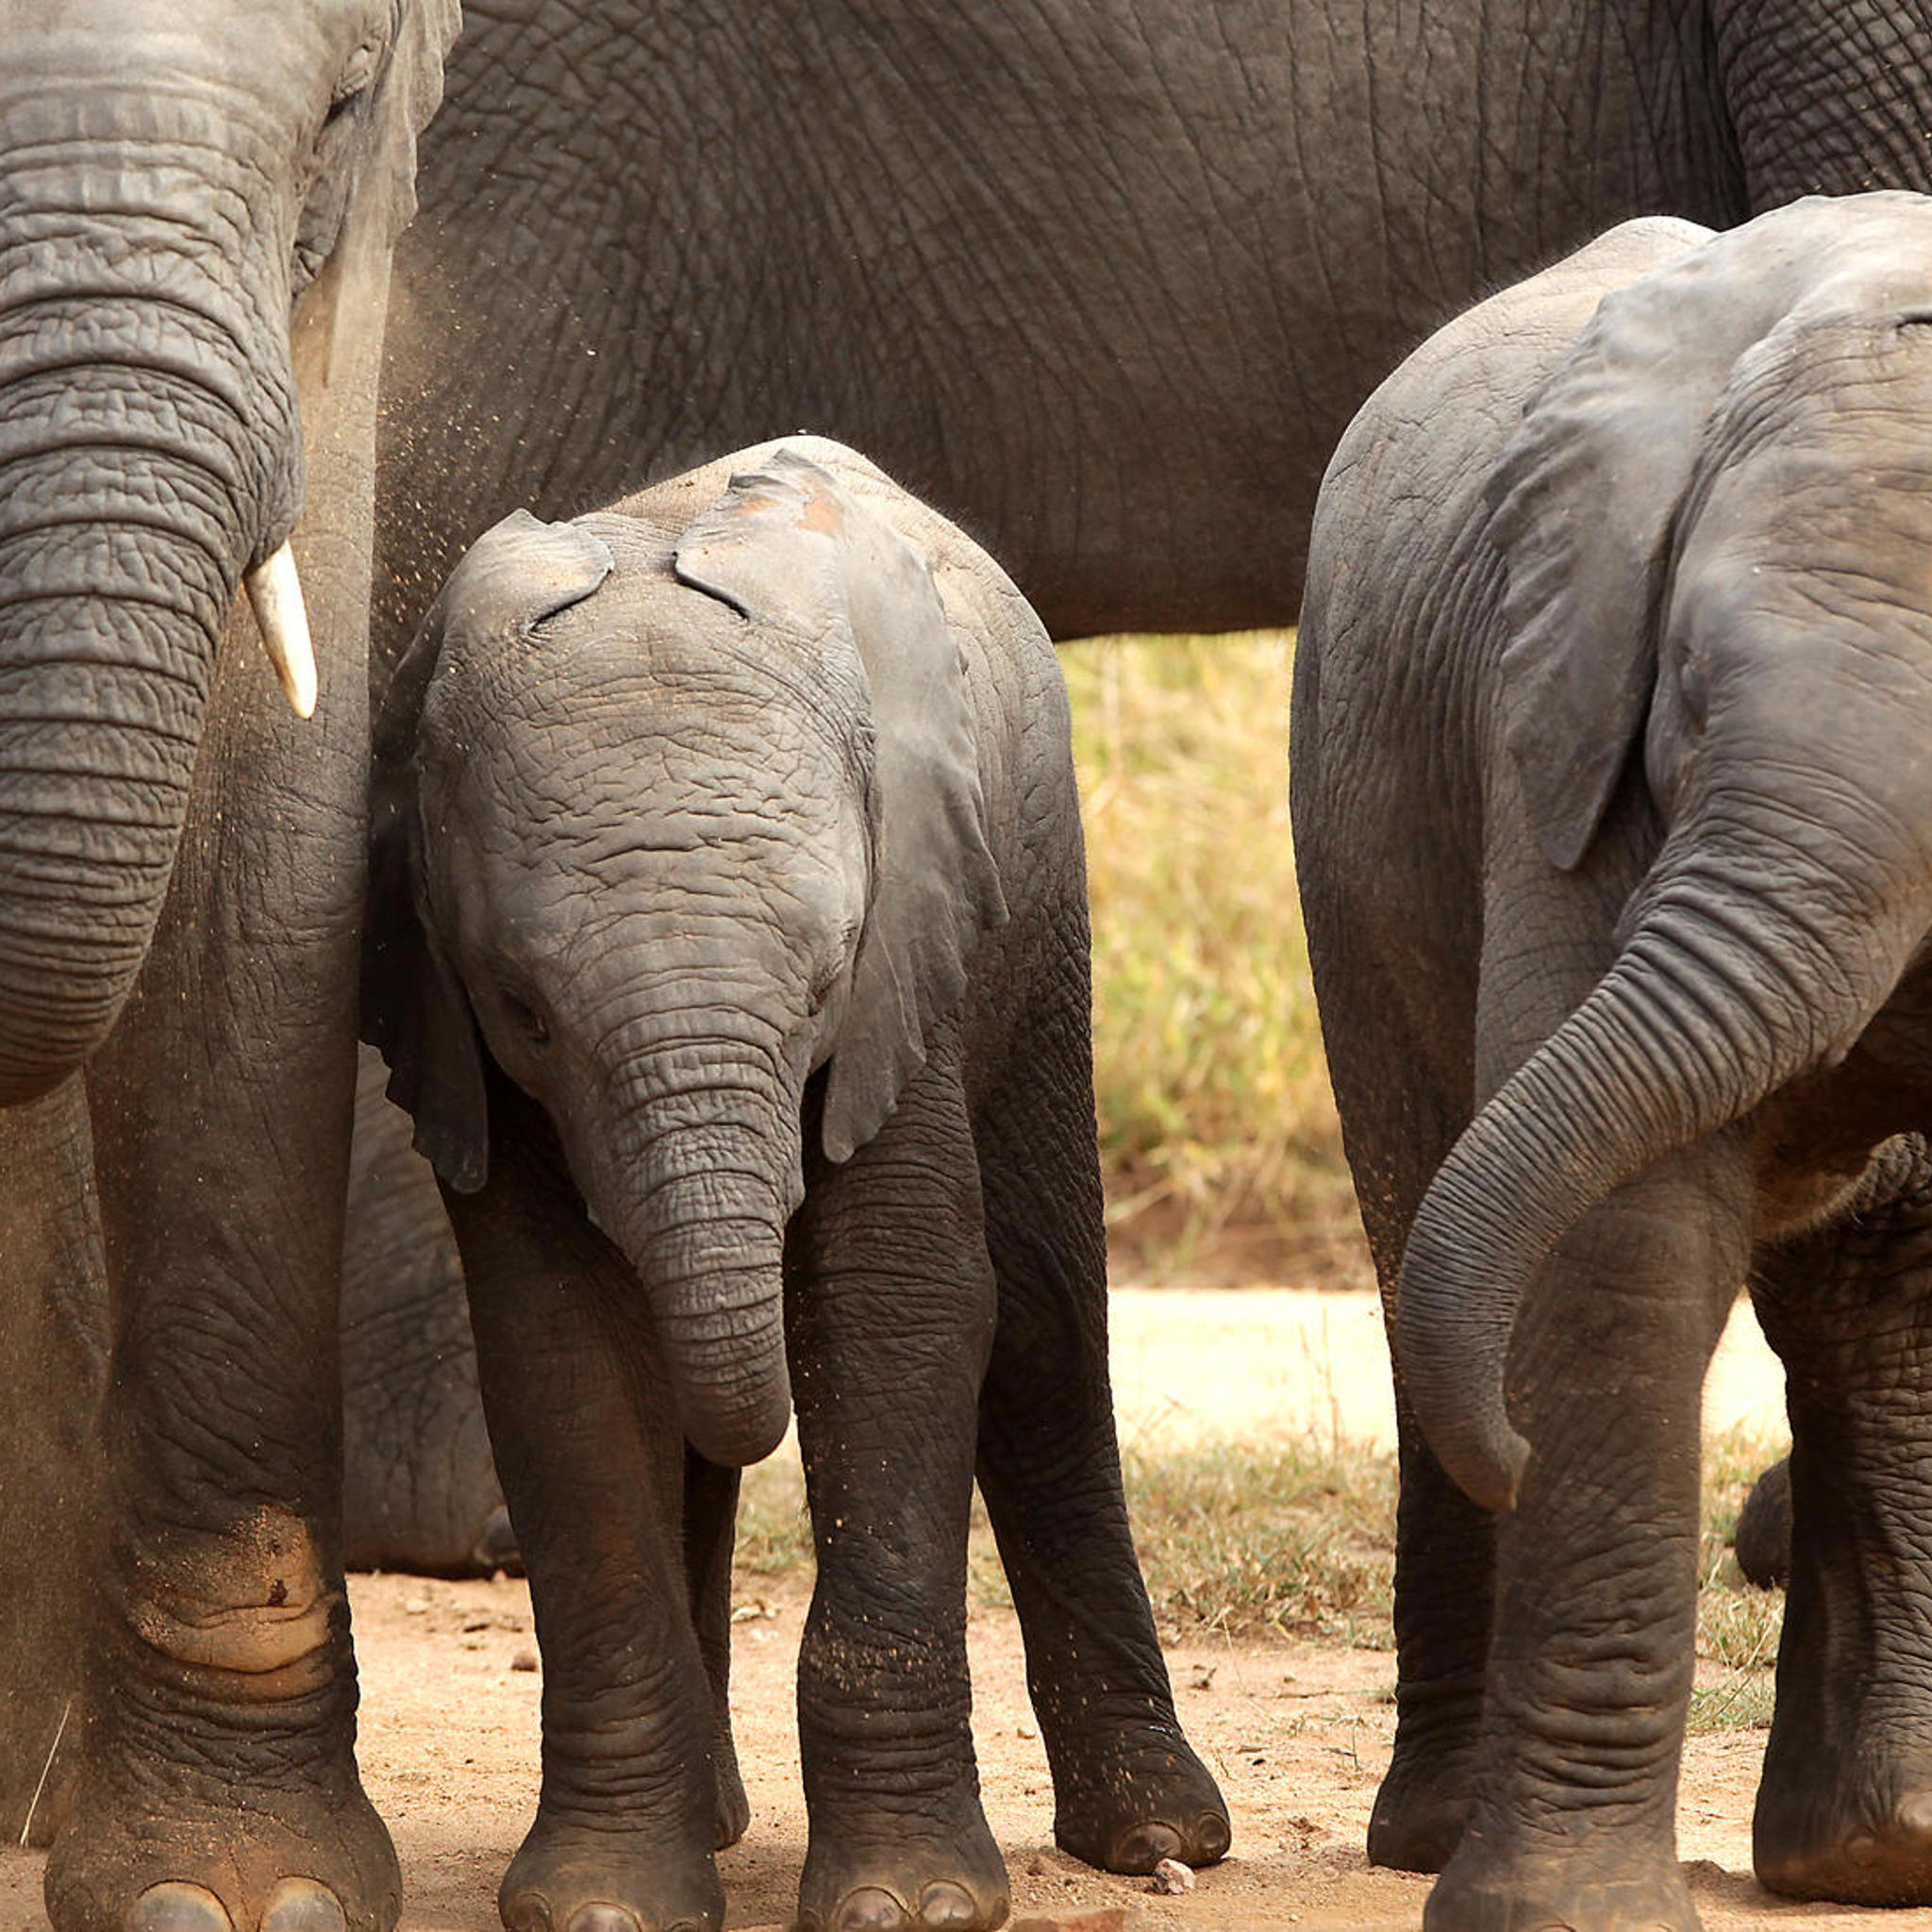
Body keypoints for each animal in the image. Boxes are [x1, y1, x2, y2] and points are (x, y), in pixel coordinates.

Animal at [361, 435, 1230, 1932]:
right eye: (528, 1012)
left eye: (827, 979)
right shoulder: (456, 1031)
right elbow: (560, 1351)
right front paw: (606, 1905)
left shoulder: (911, 958)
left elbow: (901, 1307)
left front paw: (914, 1905)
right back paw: (712, 1824)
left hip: (1037, 909)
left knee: (1046, 1333)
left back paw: (1157, 1832)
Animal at [1291, 190, 1932, 1928]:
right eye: (1689, 690)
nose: (1509, 1455)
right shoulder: (1565, 741)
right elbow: (1618, 1242)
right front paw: (1558, 1915)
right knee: (1426, 1217)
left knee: (1869, 1277)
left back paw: (1872, 1851)